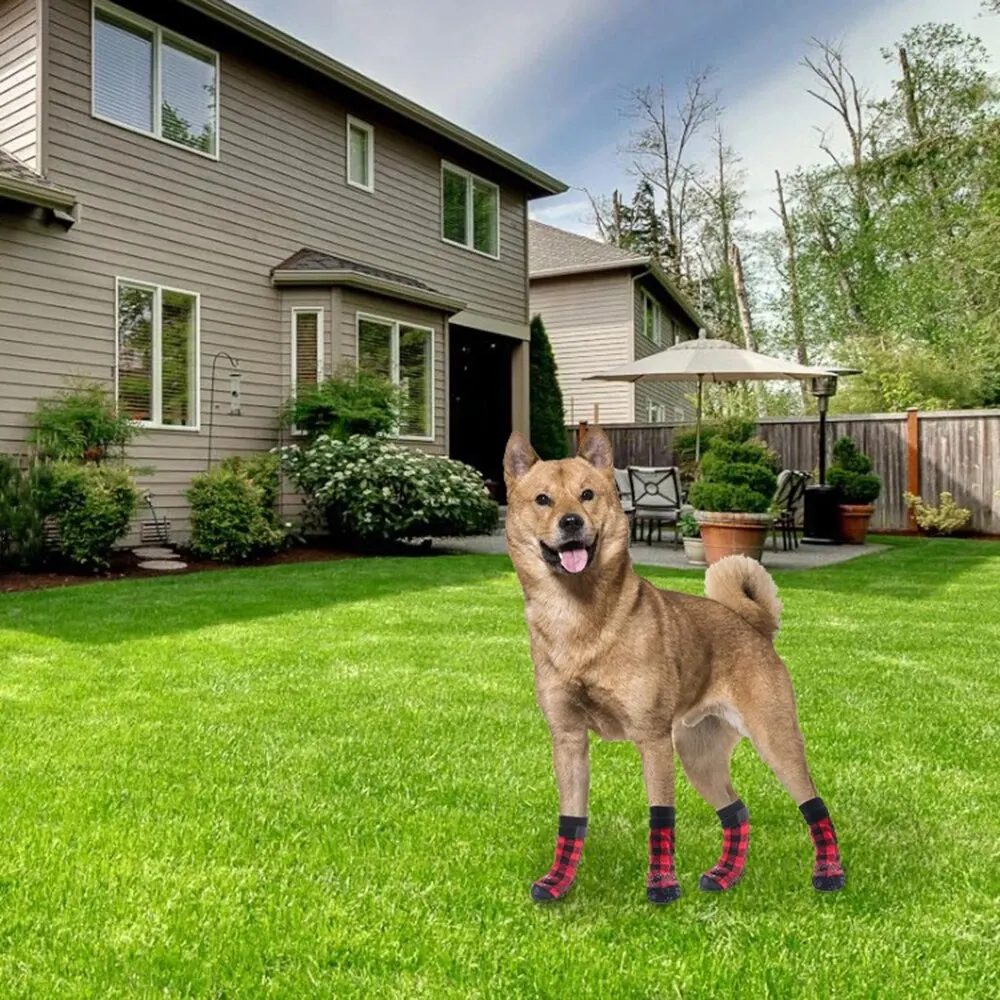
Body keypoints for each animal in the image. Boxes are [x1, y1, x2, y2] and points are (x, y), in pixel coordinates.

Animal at [508, 426, 844, 904]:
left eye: (587, 494)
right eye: (542, 499)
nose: (571, 522)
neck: (580, 618)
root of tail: (754, 627)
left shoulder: (652, 740)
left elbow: (661, 817)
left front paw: (662, 887)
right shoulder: (568, 740)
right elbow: (571, 820)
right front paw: (558, 882)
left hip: (775, 740)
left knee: (814, 805)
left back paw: (829, 873)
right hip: (698, 755)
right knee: (736, 810)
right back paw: (724, 875)